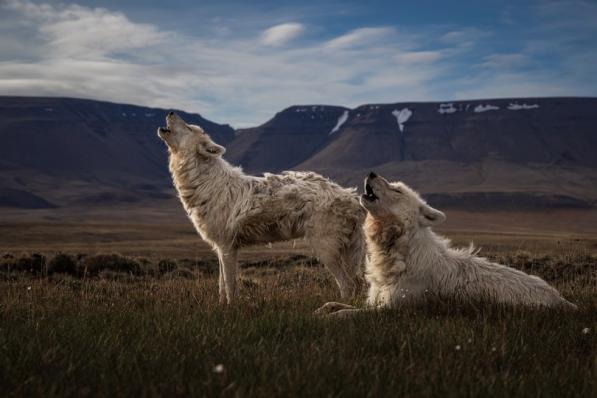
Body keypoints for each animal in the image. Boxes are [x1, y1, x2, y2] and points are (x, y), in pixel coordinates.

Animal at [157, 112, 364, 304]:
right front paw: (221, 307)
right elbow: (221, 285)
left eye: (189, 127)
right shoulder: (220, 248)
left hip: (325, 250)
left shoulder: (227, 246)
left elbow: (230, 286)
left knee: (348, 285)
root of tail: (353, 198)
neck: (205, 182)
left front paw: (231, 310)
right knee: (357, 283)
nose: (171, 112)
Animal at [316, 172, 576, 318]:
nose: (371, 173)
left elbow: (345, 314)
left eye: (397, 189)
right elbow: (332, 303)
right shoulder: (374, 301)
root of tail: (563, 300)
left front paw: (326, 318)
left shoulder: (391, 311)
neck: (397, 254)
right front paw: (319, 310)